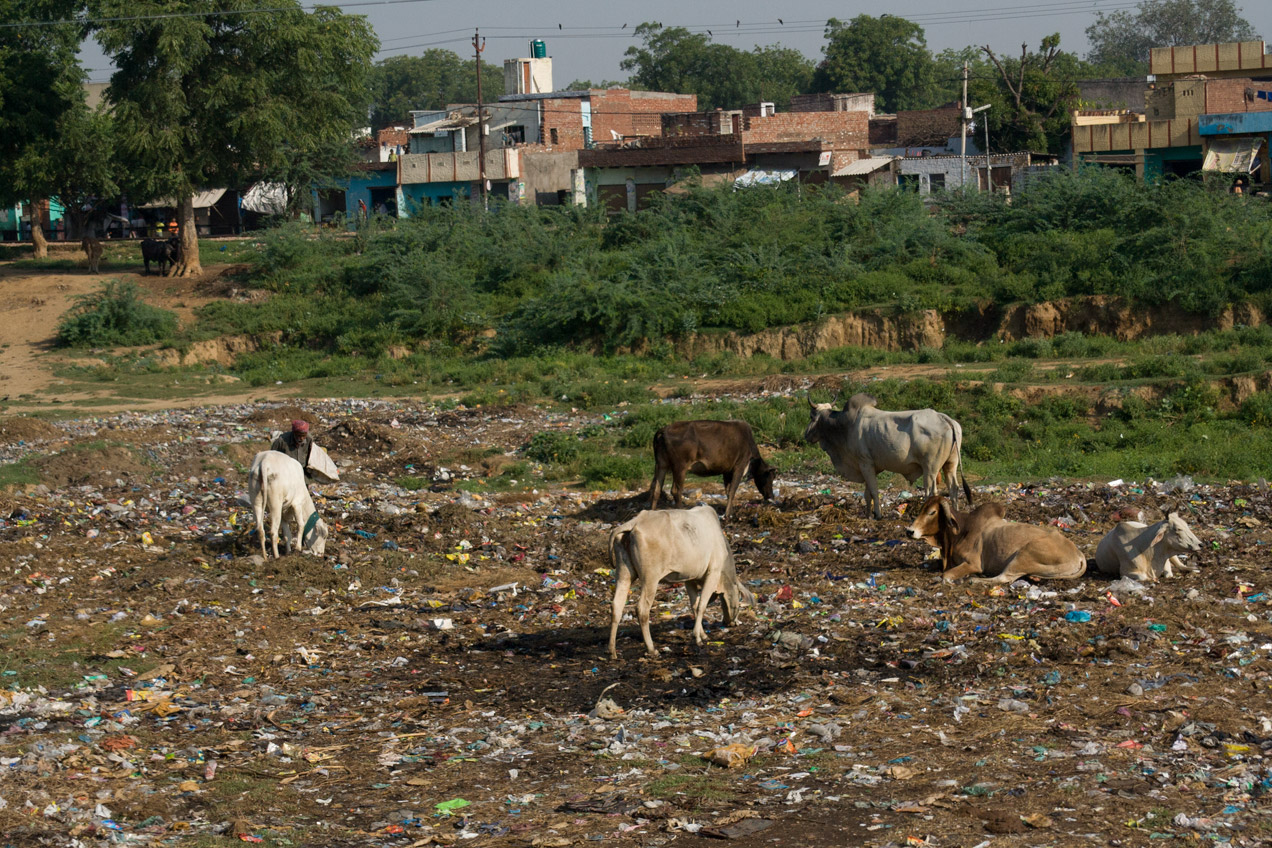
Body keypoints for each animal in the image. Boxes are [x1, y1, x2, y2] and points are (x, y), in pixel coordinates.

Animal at [608, 505, 752, 659]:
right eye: (739, 600)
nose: (732, 622)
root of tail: (635, 522)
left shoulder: (689, 579)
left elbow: (694, 606)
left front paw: (702, 634)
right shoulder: (713, 573)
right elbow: (701, 605)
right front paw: (697, 638)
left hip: (623, 574)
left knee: (616, 606)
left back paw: (612, 651)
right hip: (650, 578)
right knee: (642, 609)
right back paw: (651, 649)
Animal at [805, 394, 971, 519]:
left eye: (811, 416)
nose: (806, 435)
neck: (845, 425)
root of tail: (945, 419)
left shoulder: (865, 463)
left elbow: (873, 491)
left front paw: (877, 515)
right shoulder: (868, 467)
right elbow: (867, 493)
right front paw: (867, 514)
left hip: (930, 468)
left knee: (931, 491)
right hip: (950, 464)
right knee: (953, 488)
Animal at [904, 495, 1085, 583]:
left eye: (932, 512)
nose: (909, 531)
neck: (960, 532)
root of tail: (1079, 554)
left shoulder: (972, 563)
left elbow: (946, 575)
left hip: (1023, 555)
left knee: (1004, 578)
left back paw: (976, 580)